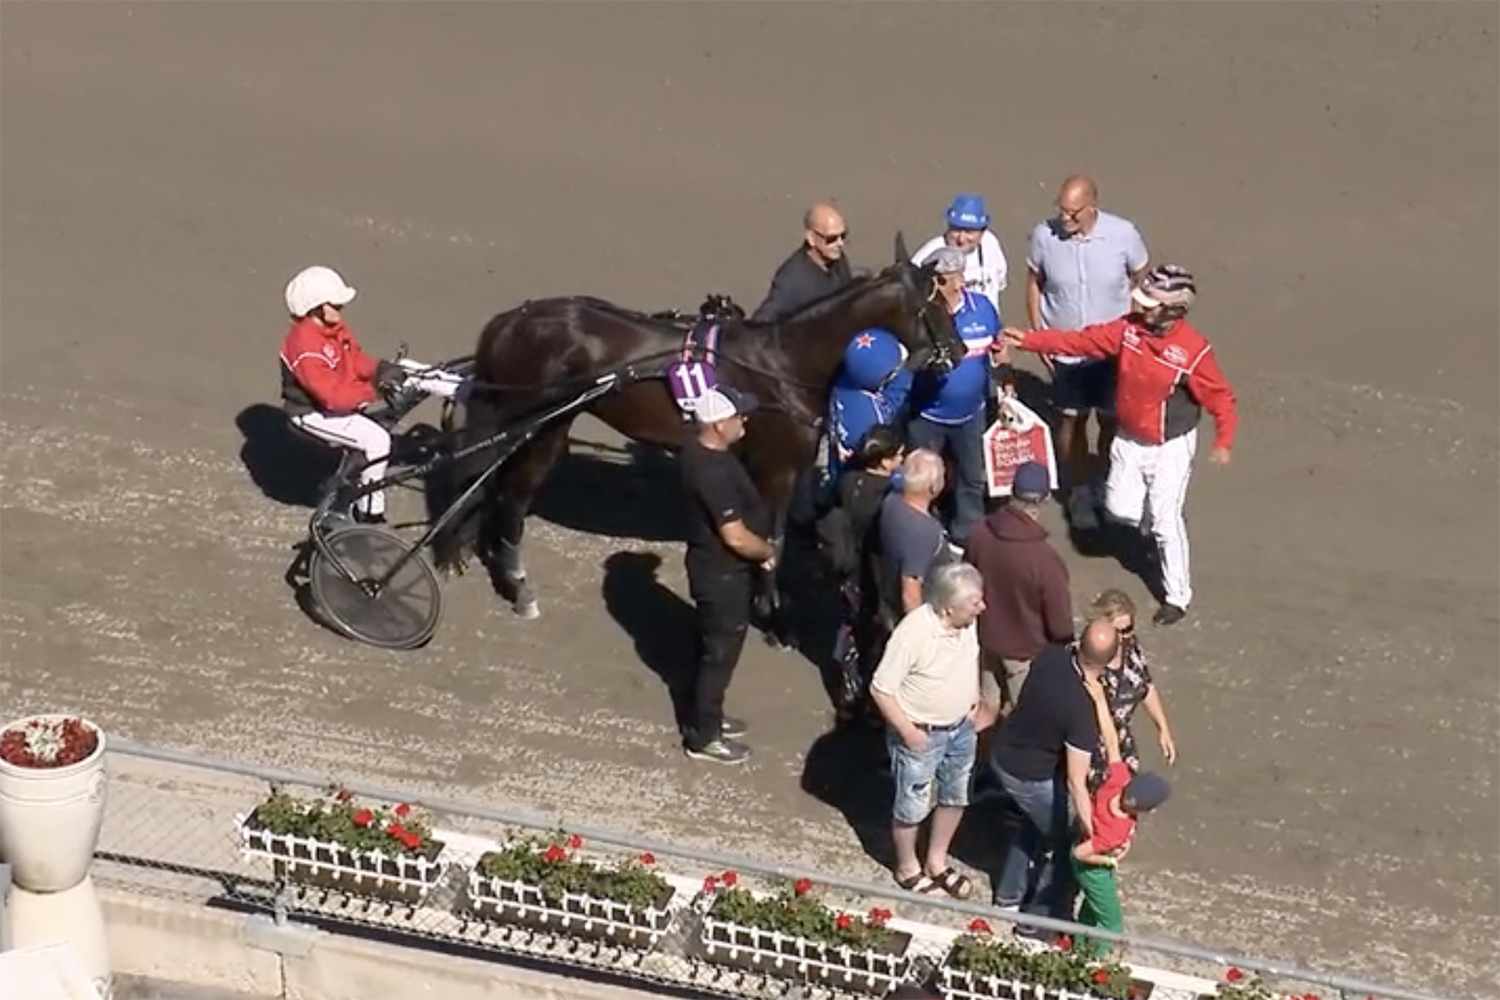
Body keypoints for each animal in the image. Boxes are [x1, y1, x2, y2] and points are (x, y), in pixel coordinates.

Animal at [429, 235, 960, 641]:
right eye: (934, 303)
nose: (957, 353)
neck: (781, 365)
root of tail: (513, 319)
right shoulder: (776, 468)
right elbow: (774, 539)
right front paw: (772, 616)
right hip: (538, 423)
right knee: (511, 494)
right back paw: (518, 585)